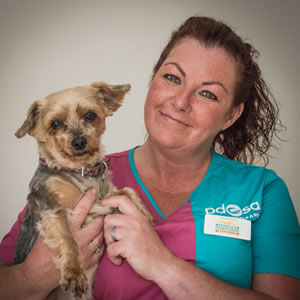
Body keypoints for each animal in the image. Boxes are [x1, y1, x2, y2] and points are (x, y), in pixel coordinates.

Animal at [13, 81, 155, 298]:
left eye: (90, 115)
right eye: (55, 124)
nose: (79, 141)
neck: (80, 171)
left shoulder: (105, 196)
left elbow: (129, 190)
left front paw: (146, 216)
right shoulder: (53, 209)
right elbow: (68, 240)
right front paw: (74, 273)